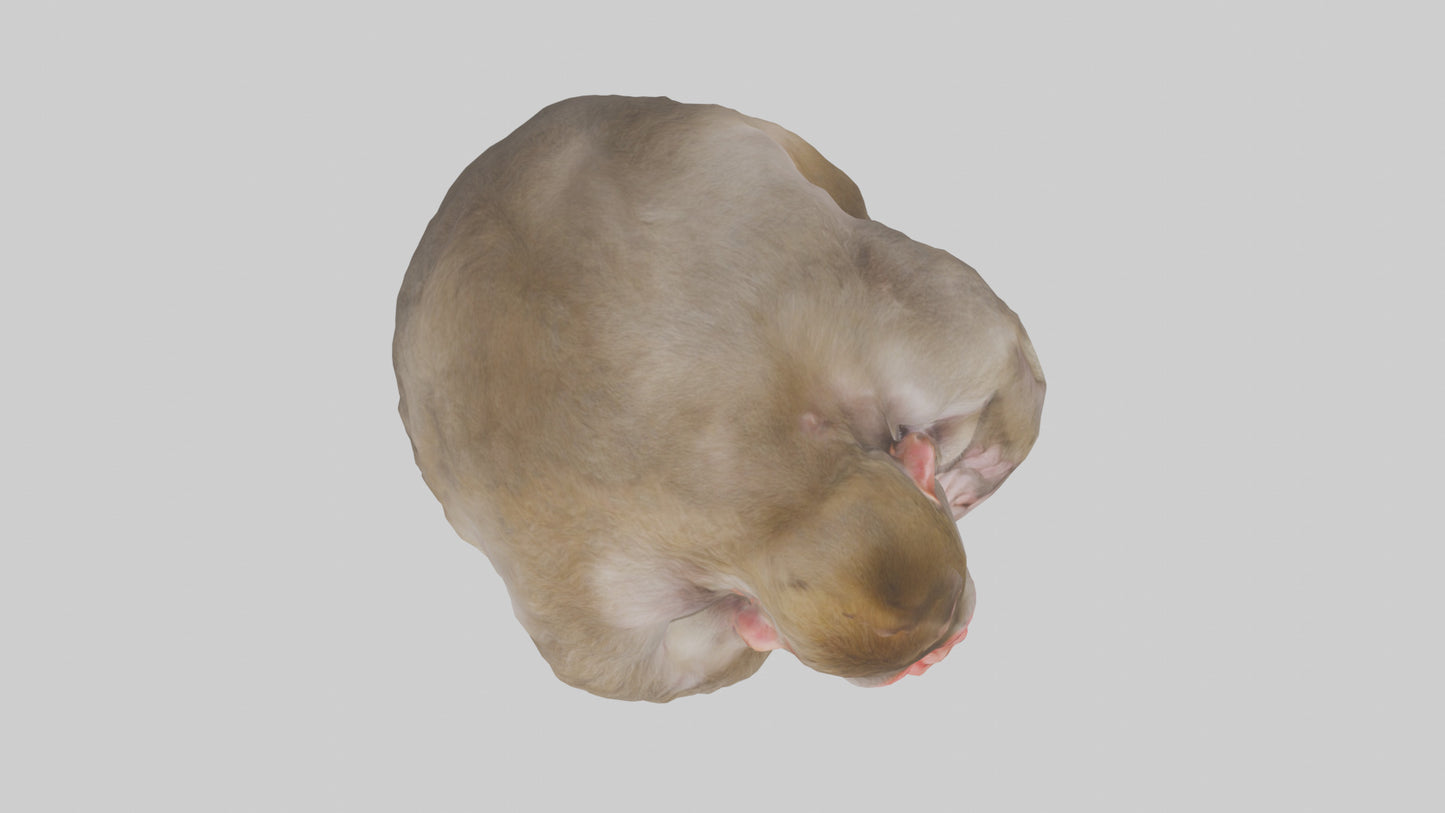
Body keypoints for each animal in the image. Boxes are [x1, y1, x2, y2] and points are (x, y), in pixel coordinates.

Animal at [393, 96, 1044, 702]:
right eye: (919, 664)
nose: (939, 653)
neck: (769, 491)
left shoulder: (879, 346)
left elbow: (999, 346)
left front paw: (971, 467)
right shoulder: (595, 605)